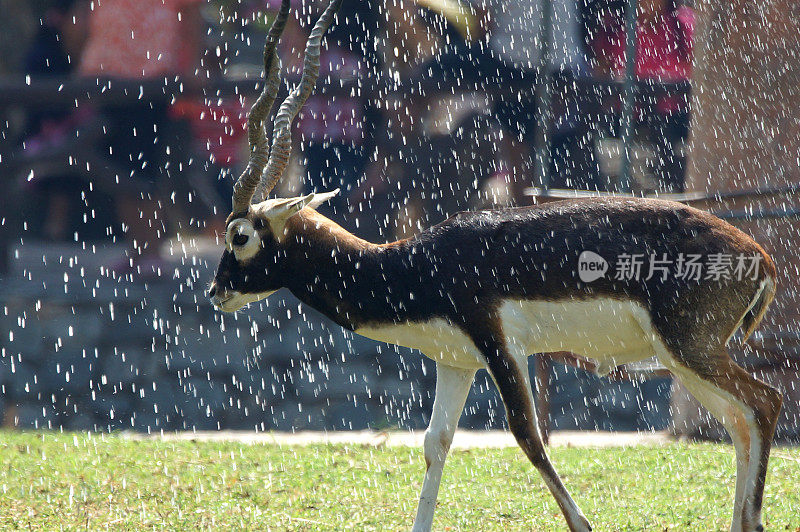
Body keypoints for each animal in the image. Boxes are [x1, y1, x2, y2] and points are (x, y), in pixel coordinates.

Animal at [206, 1, 780, 532]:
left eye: (241, 236)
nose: (216, 292)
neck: (415, 263)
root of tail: (759, 255)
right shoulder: (455, 361)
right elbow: (435, 442)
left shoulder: (501, 344)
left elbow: (527, 434)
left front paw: (582, 522)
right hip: (682, 358)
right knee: (740, 420)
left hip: (689, 349)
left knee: (765, 403)